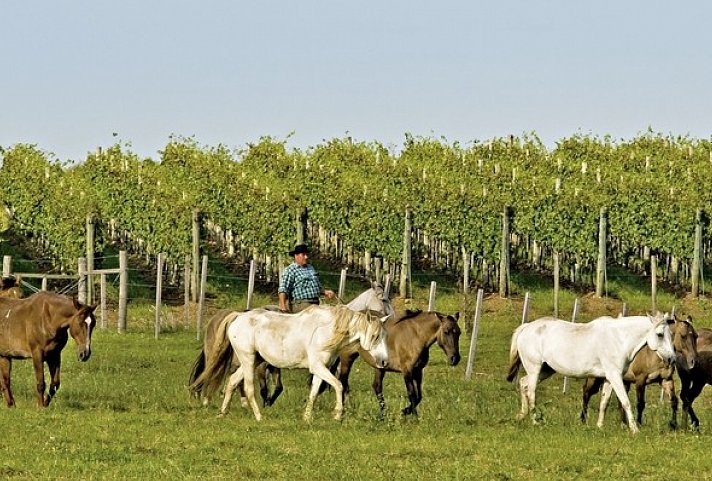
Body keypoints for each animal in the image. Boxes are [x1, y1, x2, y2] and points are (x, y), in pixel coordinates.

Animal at [192, 304, 386, 420]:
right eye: (375, 336)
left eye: (383, 336)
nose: (383, 361)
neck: (325, 330)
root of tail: (237, 316)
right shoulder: (318, 367)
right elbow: (338, 385)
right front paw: (338, 414)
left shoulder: (320, 369)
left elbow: (314, 392)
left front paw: (306, 418)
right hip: (248, 359)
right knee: (248, 388)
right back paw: (259, 416)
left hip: (254, 361)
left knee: (232, 382)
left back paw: (222, 413)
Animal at [334, 310, 462, 414]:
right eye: (446, 331)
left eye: (459, 332)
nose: (455, 358)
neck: (416, 336)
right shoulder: (407, 371)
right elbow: (412, 395)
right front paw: (411, 416)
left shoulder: (418, 371)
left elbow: (419, 396)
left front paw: (406, 411)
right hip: (347, 358)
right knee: (343, 383)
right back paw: (345, 410)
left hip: (379, 366)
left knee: (377, 387)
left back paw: (384, 414)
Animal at [504, 314, 676, 434]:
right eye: (660, 334)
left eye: (671, 335)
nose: (671, 359)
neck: (618, 338)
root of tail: (526, 327)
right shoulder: (615, 377)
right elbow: (626, 402)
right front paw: (635, 430)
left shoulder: (608, 379)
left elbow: (604, 403)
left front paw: (599, 426)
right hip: (535, 369)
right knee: (531, 392)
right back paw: (535, 421)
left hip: (545, 370)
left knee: (523, 383)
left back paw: (522, 415)